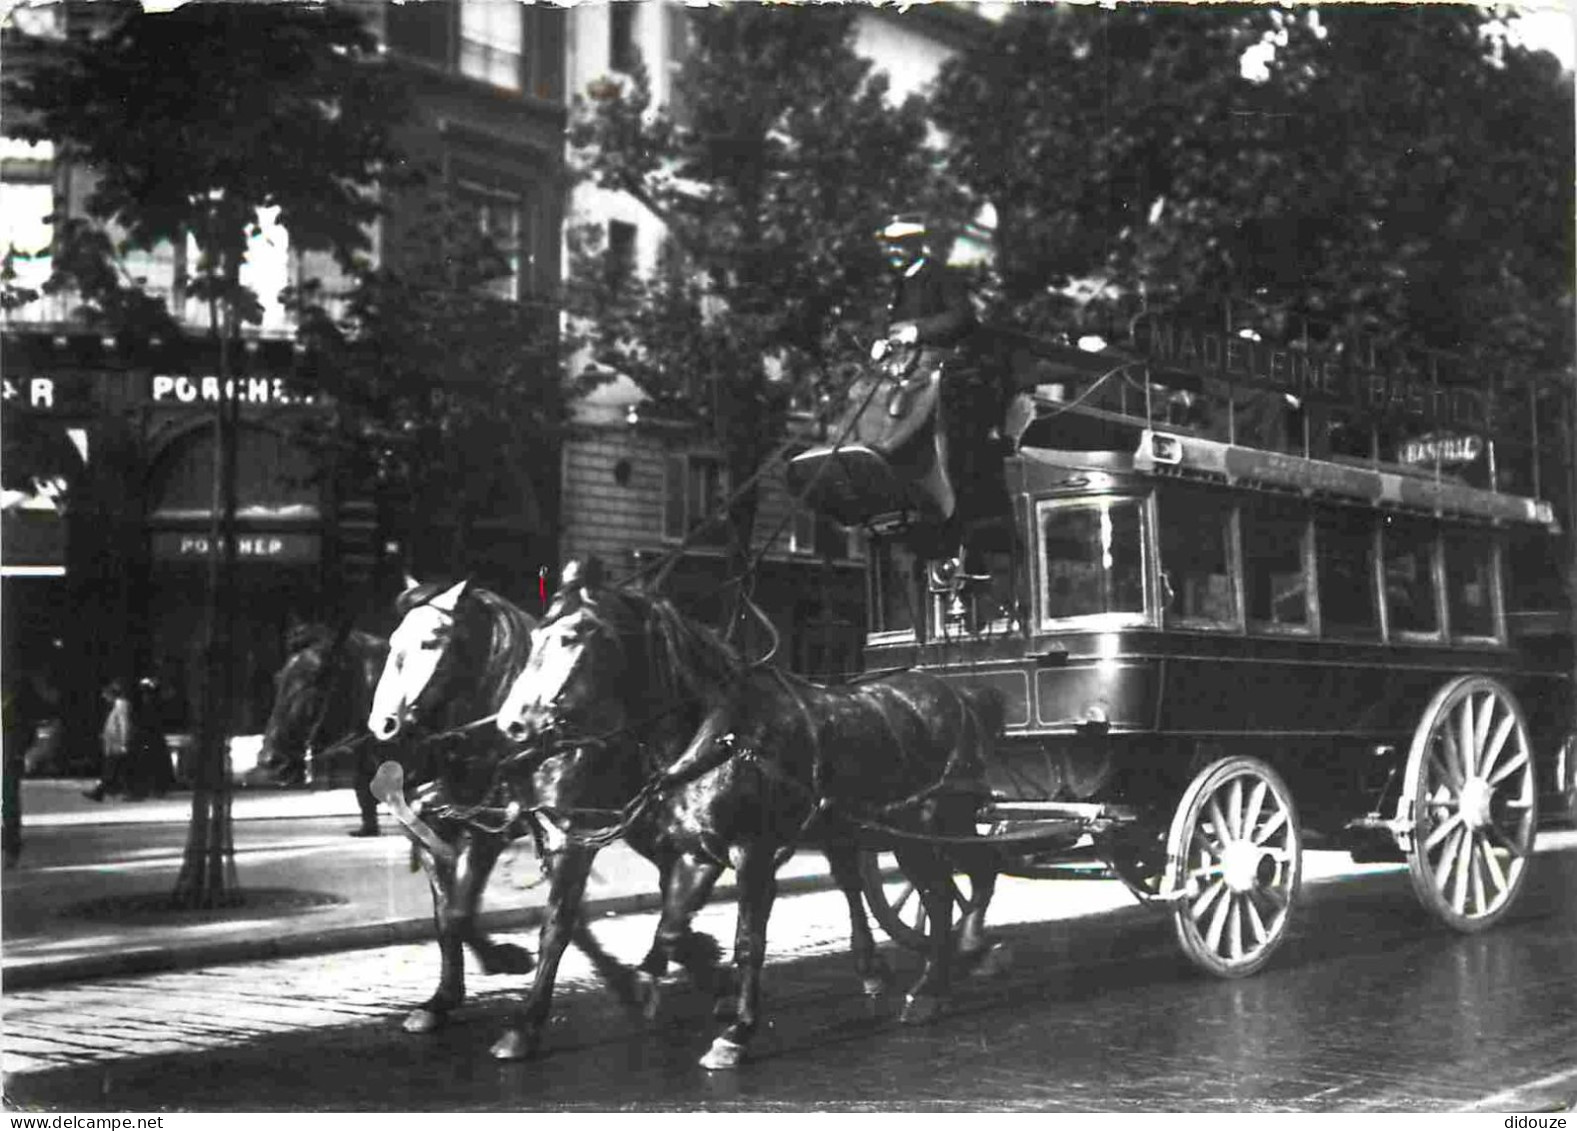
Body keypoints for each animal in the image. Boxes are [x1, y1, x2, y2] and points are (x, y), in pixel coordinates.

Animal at [498, 574, 1002, 1066]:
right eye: (535, 636)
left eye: (571, 636)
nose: (512, 725)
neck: (717, 734)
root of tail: (957, 693)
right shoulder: (693, 852)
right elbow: (667, 927)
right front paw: (650, 985)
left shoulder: (752, 852)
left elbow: (747, 941)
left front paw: (737, 1031)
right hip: (892, 830)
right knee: (938, 889)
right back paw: (937, 970)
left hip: (937, 822)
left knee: (963, 881)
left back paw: (949, 968)